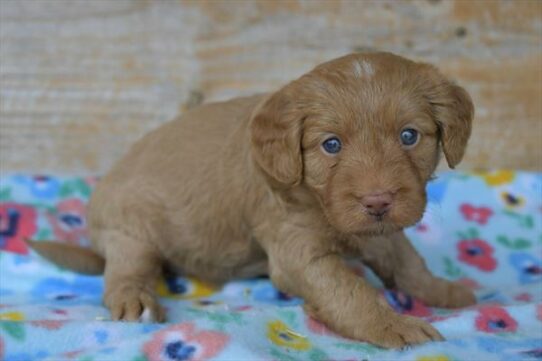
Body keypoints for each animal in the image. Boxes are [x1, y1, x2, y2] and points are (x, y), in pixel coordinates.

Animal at [33, 52, 476, 348]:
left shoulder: (380, 230)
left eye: (409, 136)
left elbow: (408, 263)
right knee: (124, 272)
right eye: (331, 145)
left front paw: (442, 291)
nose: (378, 200)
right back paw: (135, 300)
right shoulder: (296, 250)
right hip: (130, 232)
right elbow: (349, 291)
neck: (318, 202)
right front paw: (392, 325)